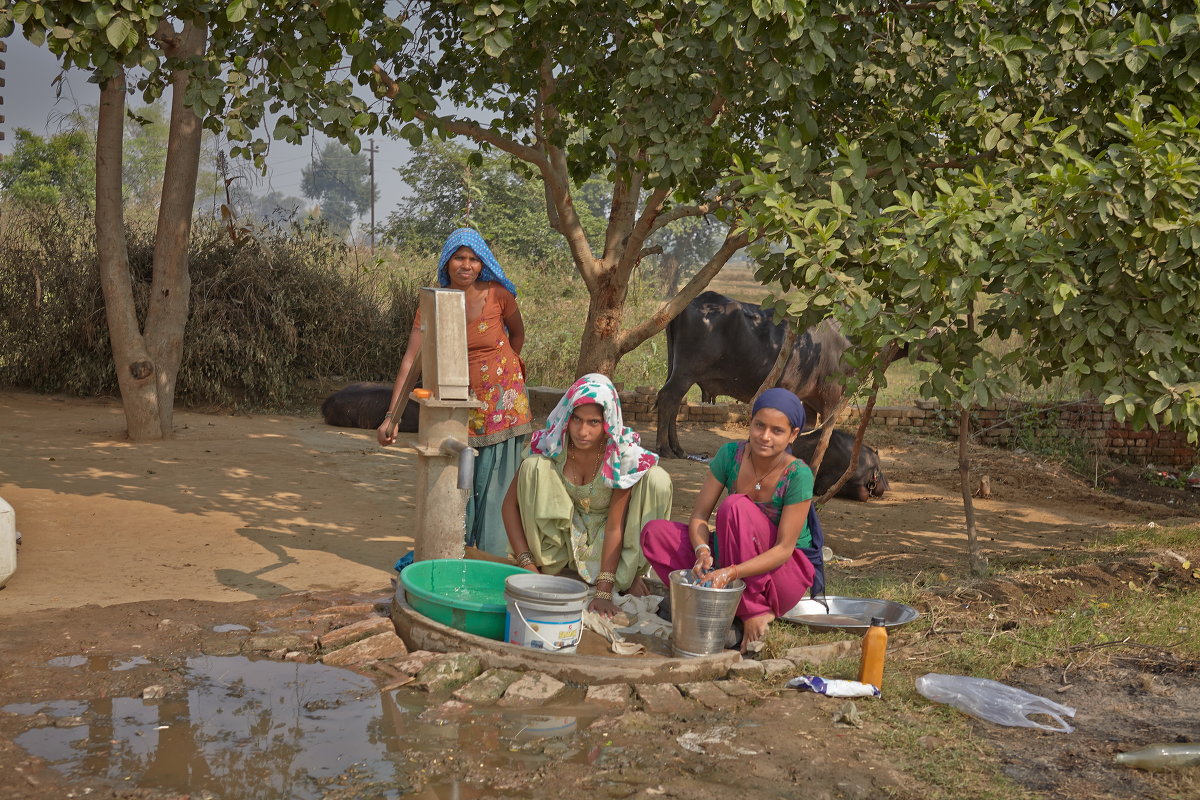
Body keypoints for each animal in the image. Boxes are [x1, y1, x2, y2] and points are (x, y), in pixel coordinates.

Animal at [657, 292, 854, 455]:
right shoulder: (831, 397)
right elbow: (824, 439)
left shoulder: (809, 403)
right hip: (685, 373)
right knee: (668, 398)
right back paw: (665, 448)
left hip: (675, 370)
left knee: (674, 403)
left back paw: (677, 449)